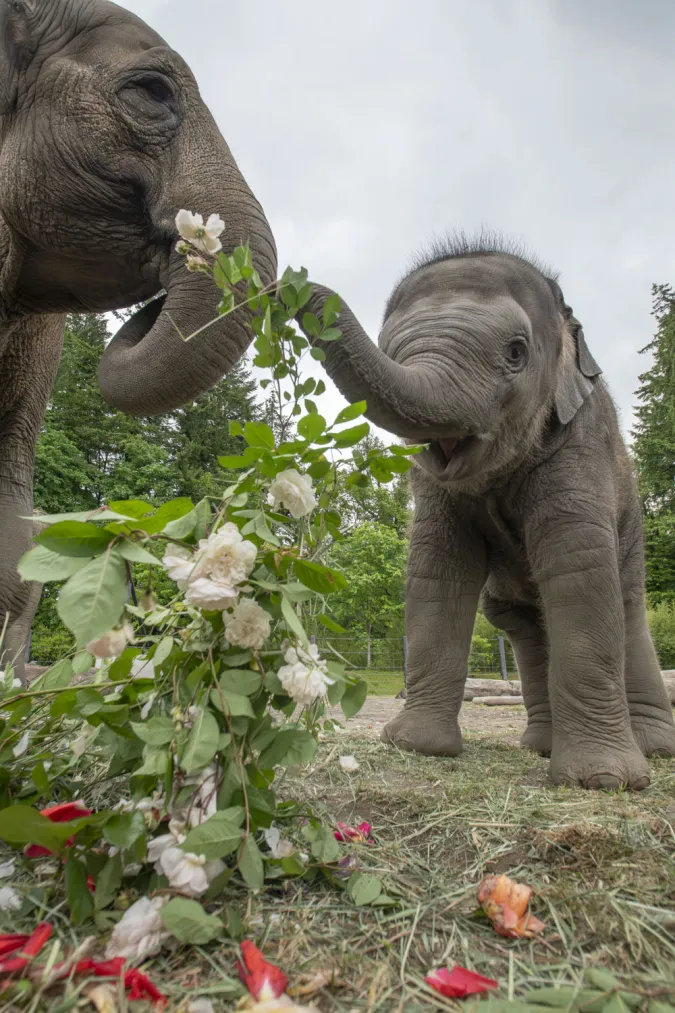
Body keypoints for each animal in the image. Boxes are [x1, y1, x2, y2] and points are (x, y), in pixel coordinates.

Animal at [296, 237, 675, 790]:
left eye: (516, 352)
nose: (290, 283)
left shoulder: (580, 442)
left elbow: (578, 571)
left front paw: (603, 781)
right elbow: (440, 571)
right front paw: (416, 746)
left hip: (631, 525)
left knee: (625, 602)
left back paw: (653, 750)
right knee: (520, 621)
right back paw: (540, 746)